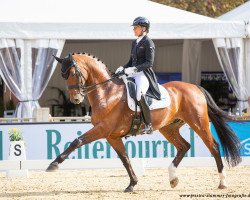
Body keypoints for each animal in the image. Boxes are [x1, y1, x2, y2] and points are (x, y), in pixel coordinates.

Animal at [46, 52, 241, 192]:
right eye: (63, 75)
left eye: (73, 73)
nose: (76, 99)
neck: (106, 92)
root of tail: (194, 87)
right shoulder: (111, 136)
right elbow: (125, 159)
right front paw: (132, 183)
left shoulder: (103, 129)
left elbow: (77, 141)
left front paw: (53, 164)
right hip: (169, 128)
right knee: (184, 146)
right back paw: (173, 178)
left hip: (199, 123)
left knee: (213, 146)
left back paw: (222, 182)